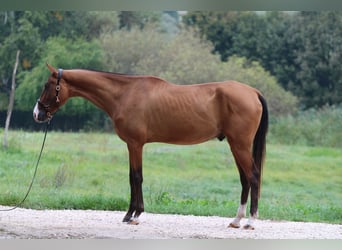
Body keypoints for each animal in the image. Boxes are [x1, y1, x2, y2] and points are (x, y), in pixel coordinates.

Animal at [33, 64, 268, 230]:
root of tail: (253, 92)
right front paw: (128, 215)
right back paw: (236, 220)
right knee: (245, 180)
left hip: (240, 145)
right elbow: (131, 178)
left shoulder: (135, 144)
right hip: (235, 146)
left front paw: (135, 215)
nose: (37, 114)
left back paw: (250, 222)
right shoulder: (132, 145)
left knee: (254, 176)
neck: (125, 93)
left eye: (47, 86)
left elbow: (137, 177)